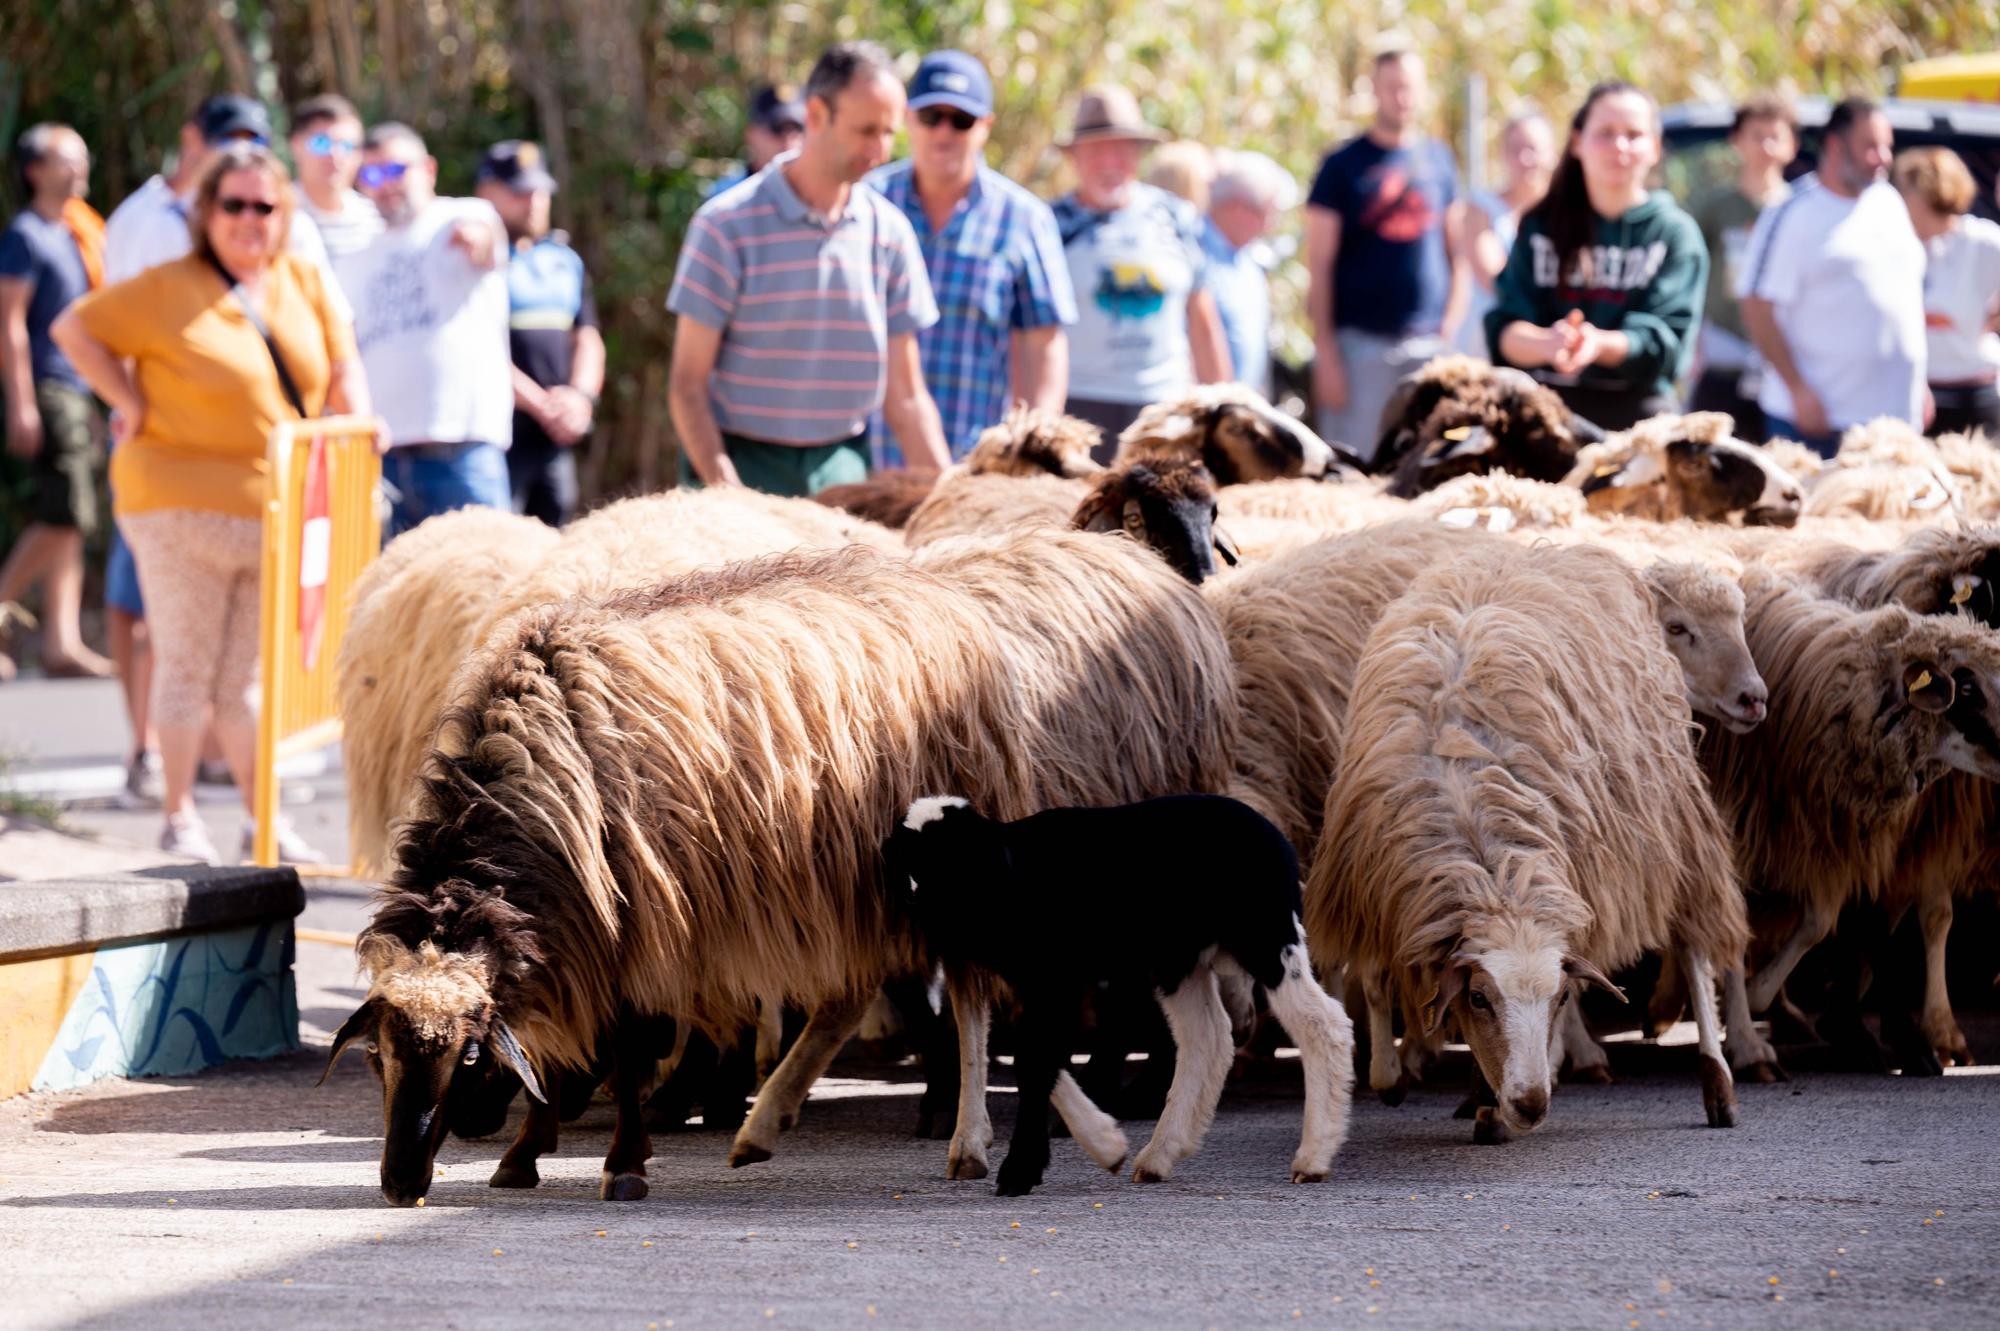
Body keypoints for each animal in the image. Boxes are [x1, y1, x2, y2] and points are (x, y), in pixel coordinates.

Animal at [884, 787, 1352, 1191]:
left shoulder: (1055, 976)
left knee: (1322, 1024)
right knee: (1208, 1037)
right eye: (906, 864)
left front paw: (1020, 1171)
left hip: (1264, 934)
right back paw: (1159, 1155)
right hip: (1180, 959)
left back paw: (1311, 1159)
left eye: (953, 862)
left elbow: (1034, 1057)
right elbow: (1033, 1053)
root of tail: (1279, 840)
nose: (920, 907)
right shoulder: (1038, 981)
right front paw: (1106, 1145)